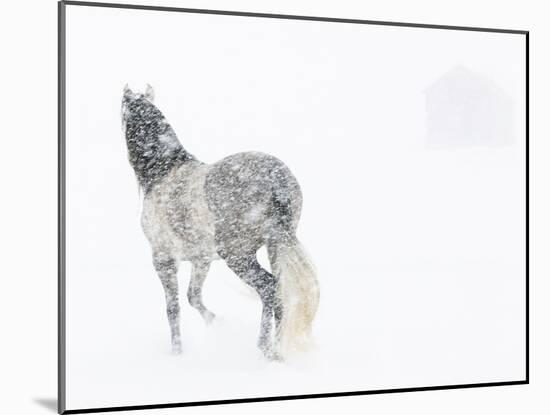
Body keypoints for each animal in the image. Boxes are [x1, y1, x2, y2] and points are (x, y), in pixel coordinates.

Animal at [121, 85, 320, 360]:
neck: (163, 172)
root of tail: (275, 179)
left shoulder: (163, 259)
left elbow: (173, 309)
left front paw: (177, 352)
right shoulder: (201, 259)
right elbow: (193, 296)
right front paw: (217, 323)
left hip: (238, 255)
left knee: (268, 288)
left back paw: (264, 348)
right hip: (275, 247)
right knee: (280, 292)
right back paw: (277, 350)